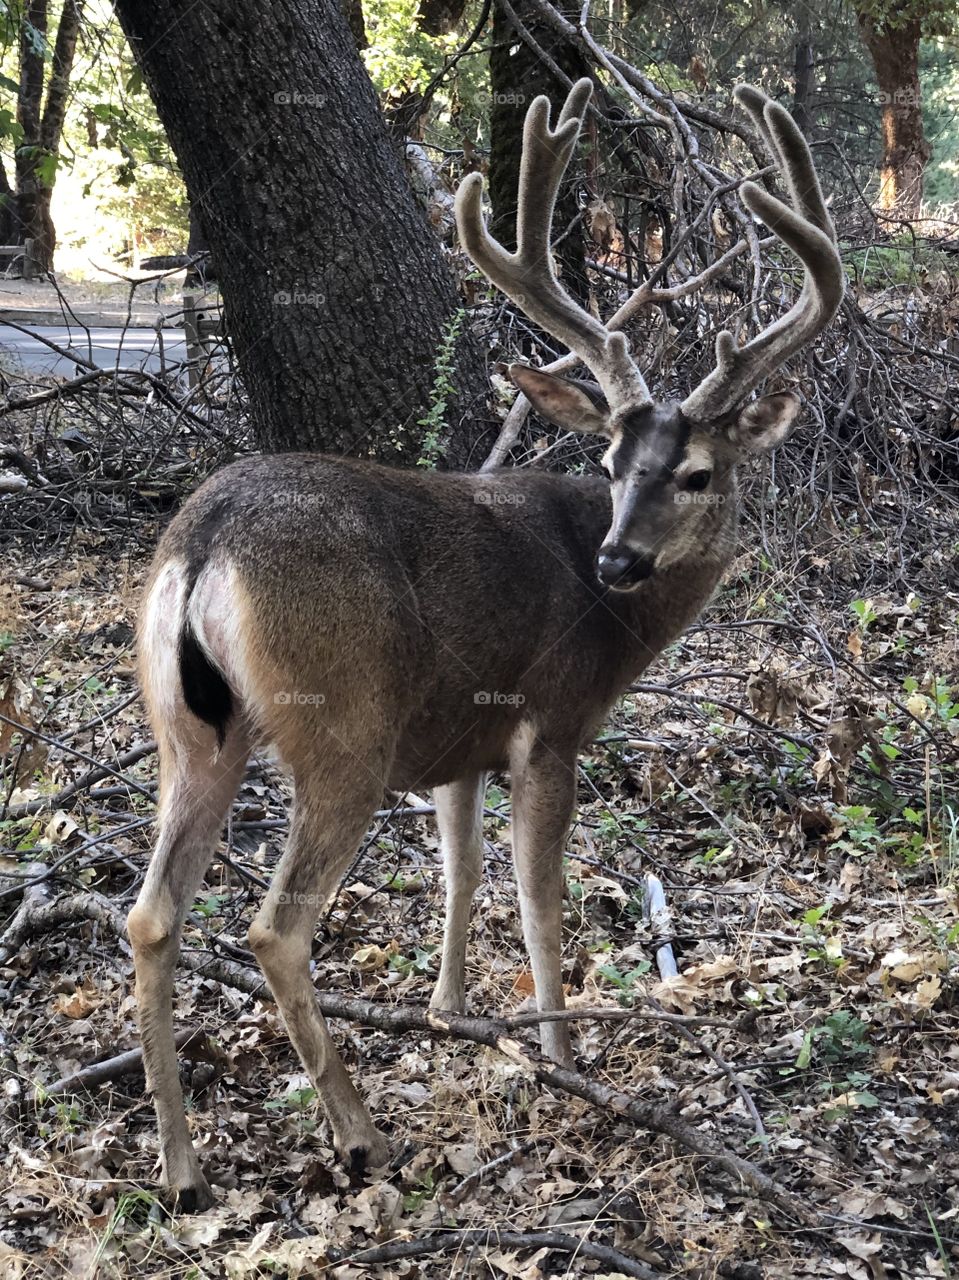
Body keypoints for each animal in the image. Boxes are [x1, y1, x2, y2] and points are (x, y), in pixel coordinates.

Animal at [129, 80, 843, 1211]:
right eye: (610, 461)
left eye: (692, 473)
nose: (617, 560)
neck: (620, 627)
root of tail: (203, 545)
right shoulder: (548, 720)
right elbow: (538, 896)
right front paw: (558, 1053)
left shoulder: (456, 738)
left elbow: (459, 872)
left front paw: (450, 1009)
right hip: (340, 726)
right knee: (274, 926)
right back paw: (361, 1138)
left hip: (189, 729)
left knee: (151, 914)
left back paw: (183, 1169)